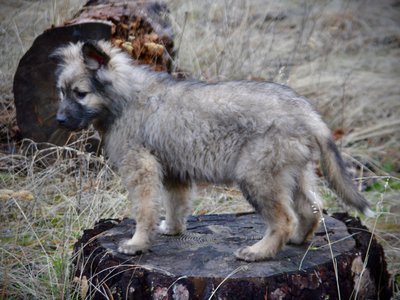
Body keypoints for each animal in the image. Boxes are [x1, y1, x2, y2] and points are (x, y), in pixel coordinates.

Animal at [51, 41, 374, 262]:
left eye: (80, 93)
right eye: (61, 92)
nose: (59, 121)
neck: (124, 97)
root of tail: (308, 113)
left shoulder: (140, 167)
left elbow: (144, 209)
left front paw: (137, 243)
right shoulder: (174, 171)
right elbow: (175, 204)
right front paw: (172, 229)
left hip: (257, 175)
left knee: (284, 219)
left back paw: (259, 252)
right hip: (293, 171)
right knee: (311, 209)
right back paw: (295, 240)